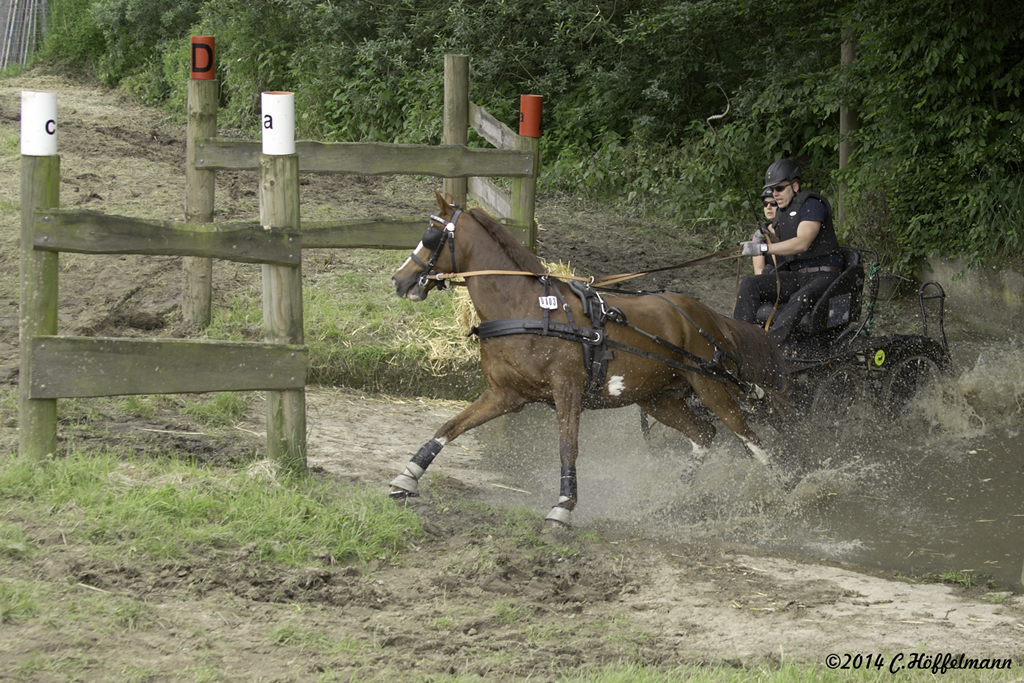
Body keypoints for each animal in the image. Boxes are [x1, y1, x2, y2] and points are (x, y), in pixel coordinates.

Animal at [387, 194, 786, 528]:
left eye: (431, 234)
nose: (398, 279)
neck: (527, 308)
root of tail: (707, 315)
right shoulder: (505, 395)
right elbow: (449, 428)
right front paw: (407, 477)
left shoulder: (568, 390)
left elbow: (568, 447)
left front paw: (563, 506)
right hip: (657, 399)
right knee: (704, 435)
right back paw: (673, 496)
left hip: (711, 386)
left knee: (751, 442)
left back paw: (779, 495)